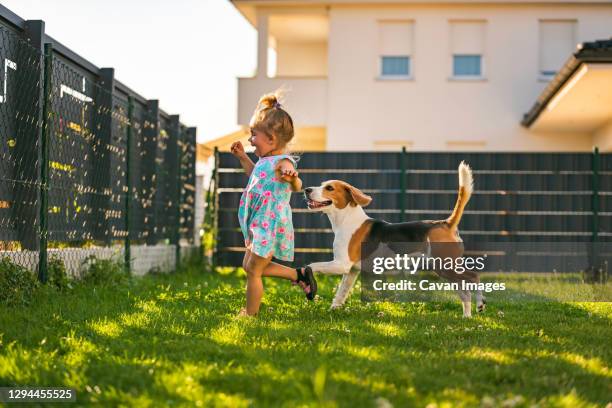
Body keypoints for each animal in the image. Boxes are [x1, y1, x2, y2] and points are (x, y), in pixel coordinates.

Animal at [304, 161, 486, 318]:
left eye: (329, 188)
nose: (306, 189)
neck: (346, 219)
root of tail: (446, 223)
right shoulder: (351, 271)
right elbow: (341, 293)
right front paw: (333, 309)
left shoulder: (341, 264)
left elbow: (311, 265)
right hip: (445, 270)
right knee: (464, 291)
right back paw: (467, 316)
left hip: (445, 266)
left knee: (474, 276)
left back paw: (480, 304)